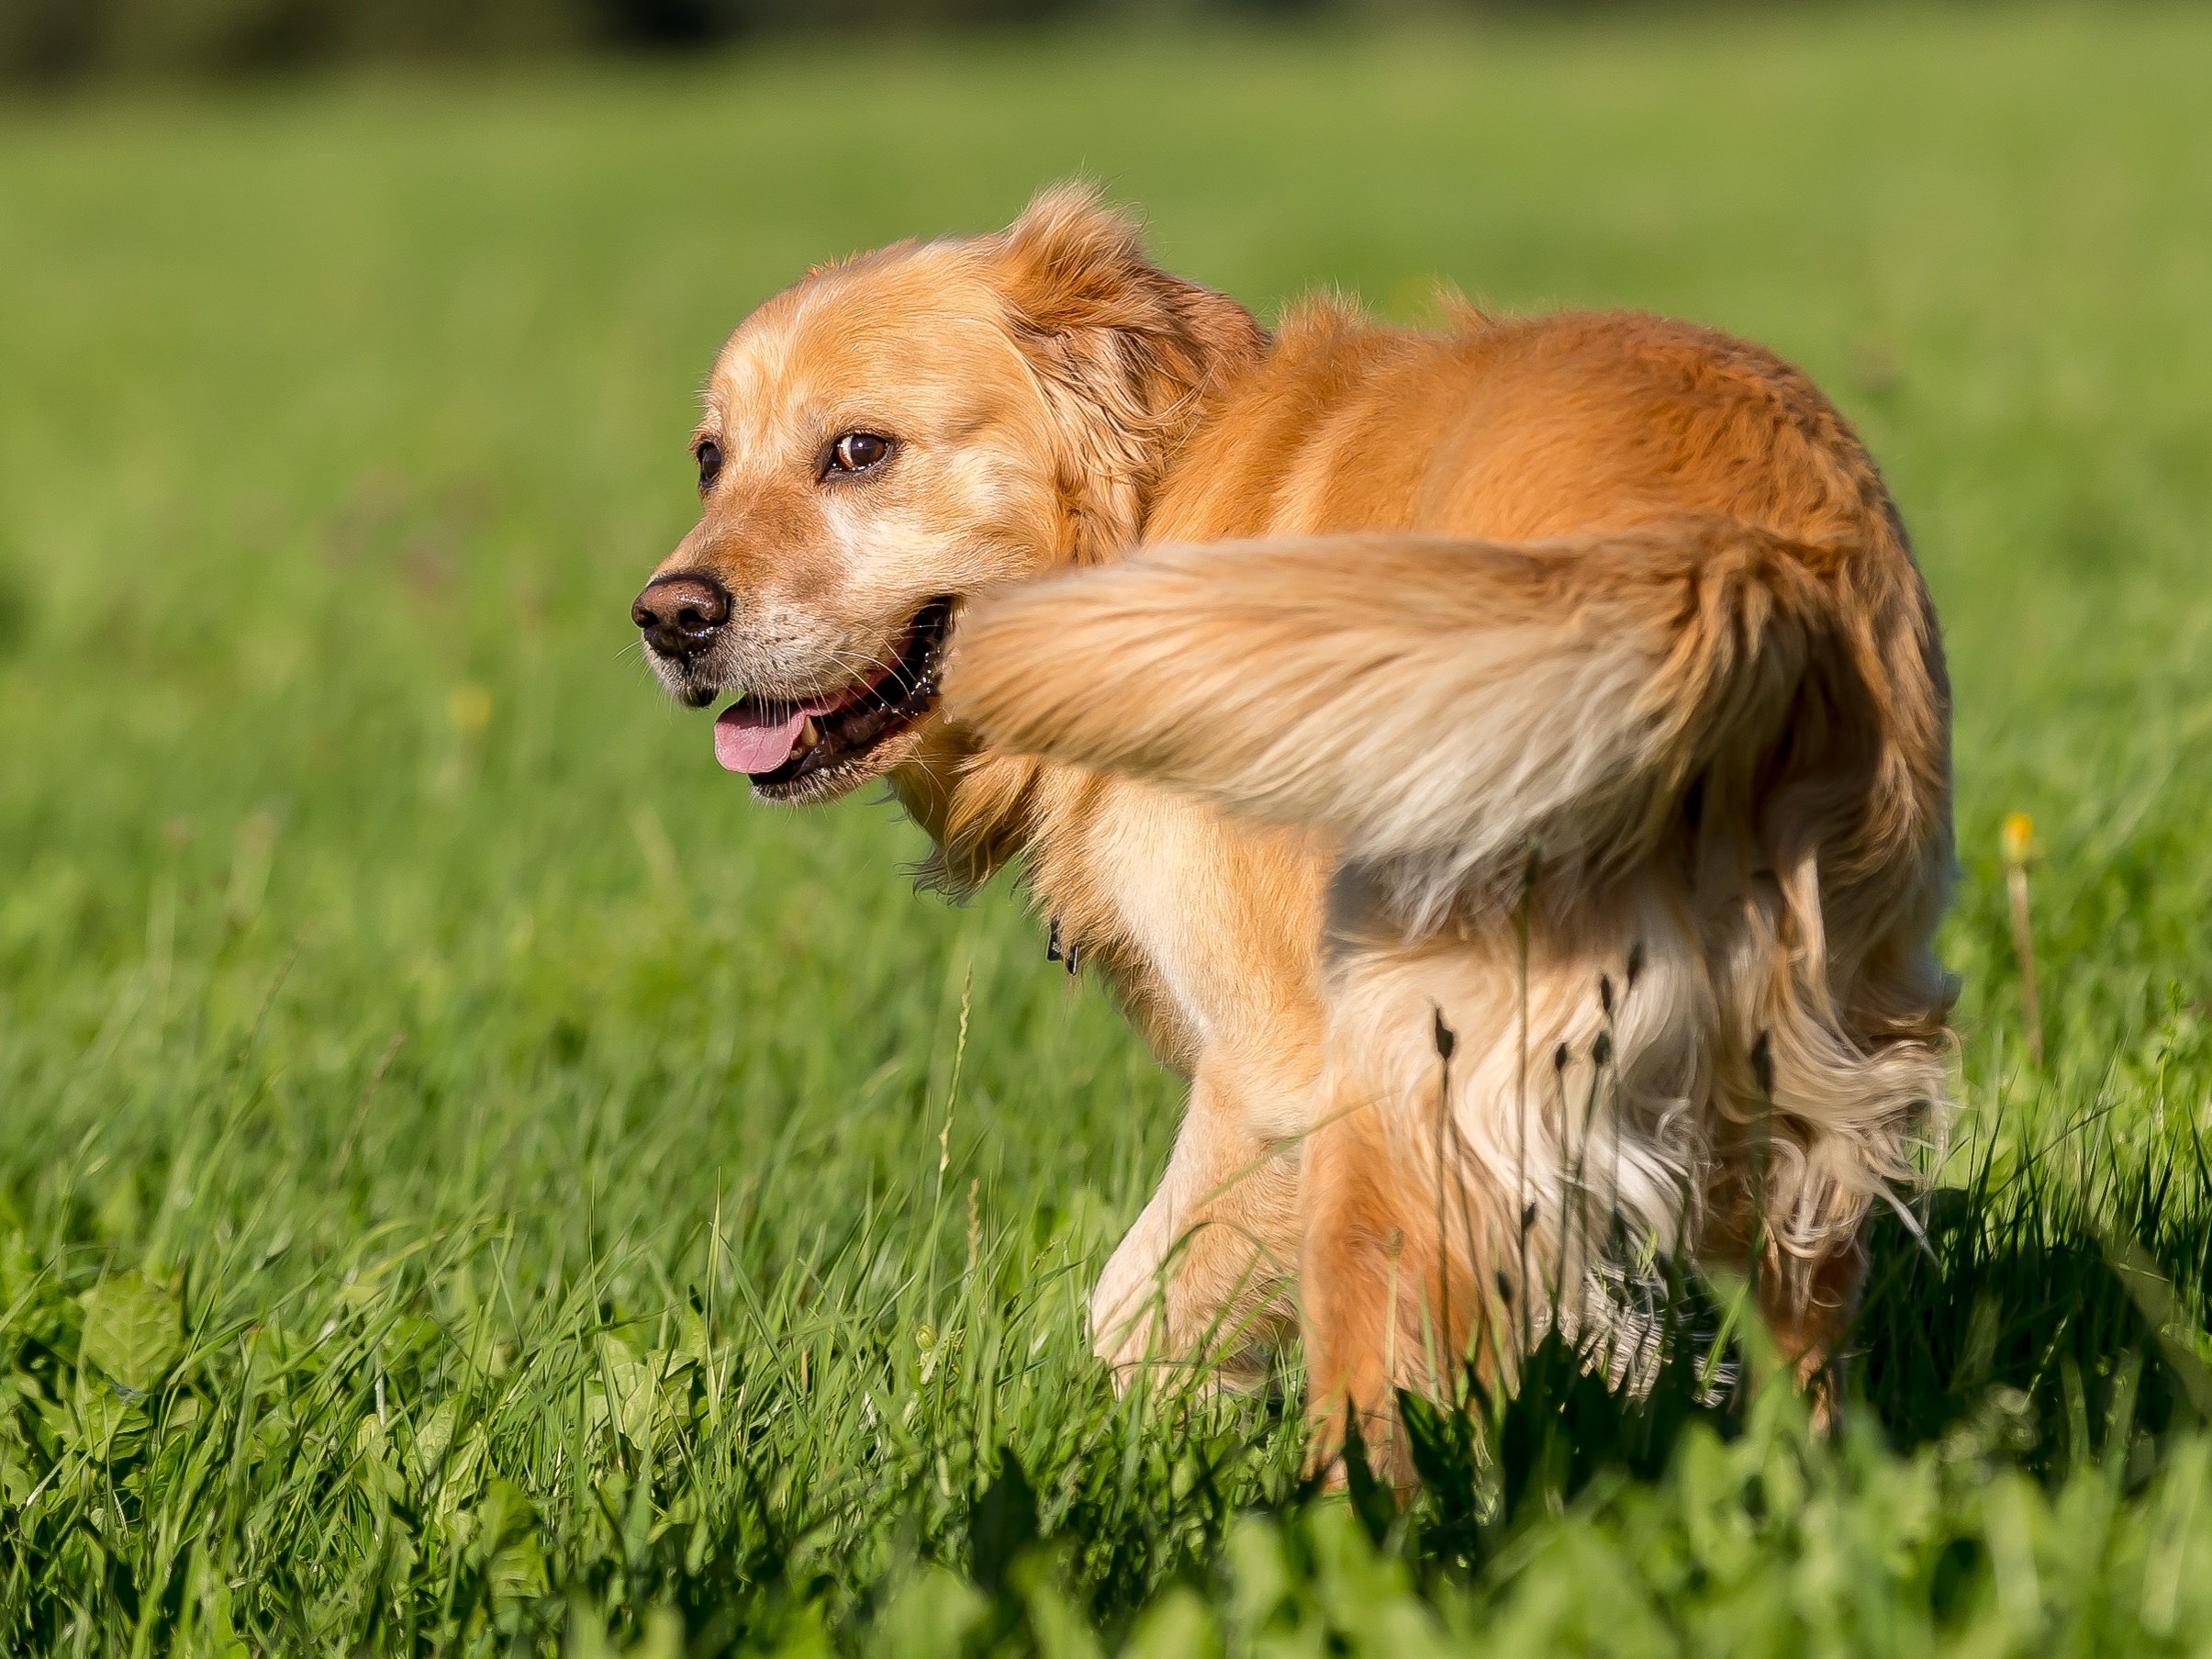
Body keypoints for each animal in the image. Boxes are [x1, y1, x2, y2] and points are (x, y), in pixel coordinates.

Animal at [628, 185, 1955, 1477]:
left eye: (859, 450)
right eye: (708, 458)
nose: (667, 616)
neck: (1151, 503)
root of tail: (1719, 556)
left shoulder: (1267, 1074)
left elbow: (1132, 1303)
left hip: (1391, 1087)